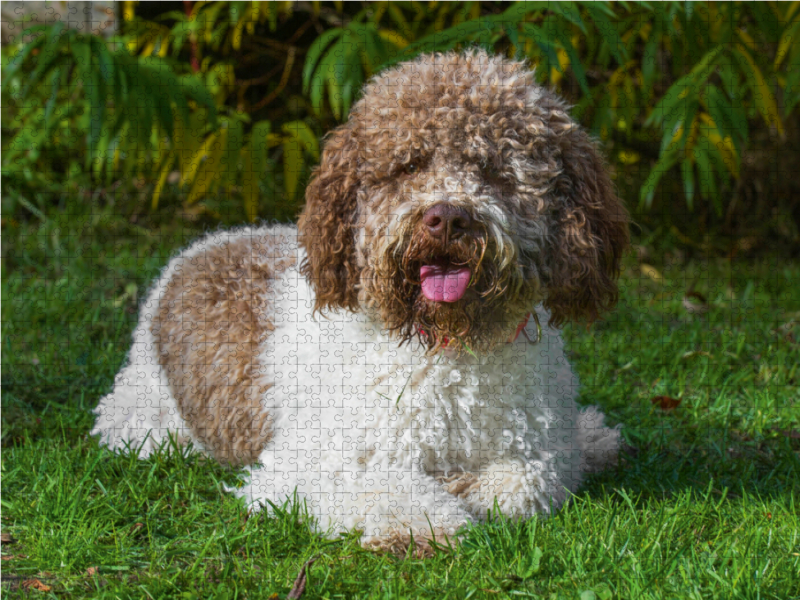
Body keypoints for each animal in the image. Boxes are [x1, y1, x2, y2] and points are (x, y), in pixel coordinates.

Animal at [92, 49, 632, 556]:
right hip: (144, 420)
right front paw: (424, 524)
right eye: (408, 165)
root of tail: (202, 246)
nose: (447, 218)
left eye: (496, 170)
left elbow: (524, 483)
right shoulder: (313, 463)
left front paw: (467, 487)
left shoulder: (539, 448)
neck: (447, 344)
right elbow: (384, 485)